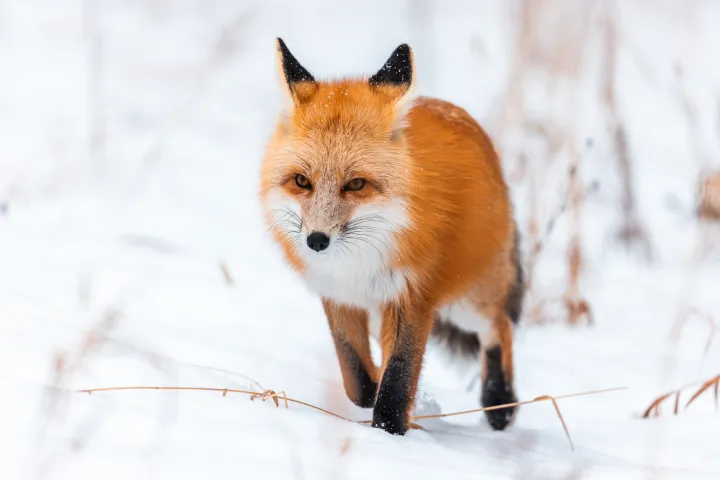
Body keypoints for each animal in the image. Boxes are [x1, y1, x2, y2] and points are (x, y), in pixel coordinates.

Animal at [259, 38, 524, 436]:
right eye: (302, 181)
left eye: (356, 184)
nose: (317, 241)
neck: (355, 263)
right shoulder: (337, 294)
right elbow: (355, 375)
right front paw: (372, 397)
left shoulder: (412, 295)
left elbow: (398, 376)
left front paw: (390, 429)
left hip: (468, 300)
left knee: (500, 326)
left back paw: (500, 402)